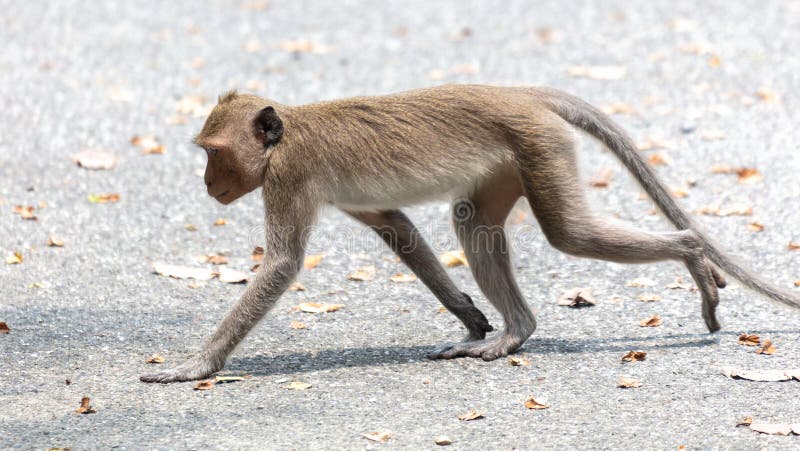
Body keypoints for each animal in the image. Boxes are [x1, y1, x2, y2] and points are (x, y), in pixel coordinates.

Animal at [140, 84, 800, 383]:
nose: (207, 183)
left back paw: (692, 252)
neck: (287, 136)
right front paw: (468, 314)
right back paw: (513, 332)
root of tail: (525, 93)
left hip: (539, 145)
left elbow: (279, 265)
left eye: (213, 153)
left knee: (569, 233)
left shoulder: (290, 178)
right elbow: (398, 231)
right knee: (473, 222)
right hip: (512, 161)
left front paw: (195, 366)